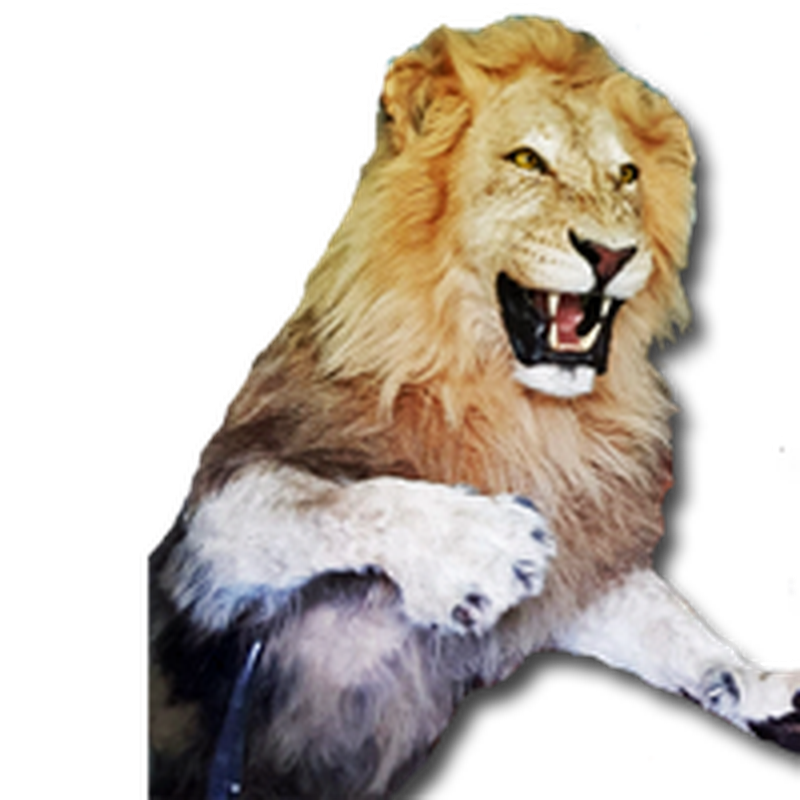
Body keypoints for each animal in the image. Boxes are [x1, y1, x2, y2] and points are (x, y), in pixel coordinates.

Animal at [145, 13, 799, 799]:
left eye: (627, 176)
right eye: (527, 160)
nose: (612, 254)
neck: (516, 405)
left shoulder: (583, 563)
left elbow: (666, 624)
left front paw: (755, 684)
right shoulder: (199, 568)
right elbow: (313, 501)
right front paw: (473, 545)